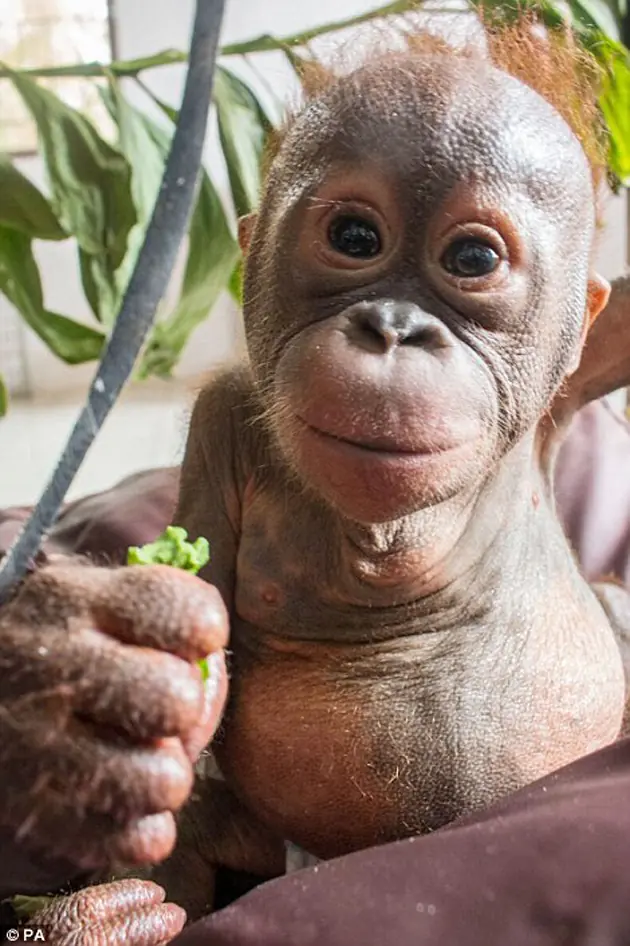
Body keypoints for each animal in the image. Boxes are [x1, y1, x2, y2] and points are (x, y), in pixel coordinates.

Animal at [2, 17, 630, 946]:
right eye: (356, 240)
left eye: (473, 257)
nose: (394, 328)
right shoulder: (221, 420)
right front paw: (76, 675)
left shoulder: (558, 399)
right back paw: (105, 916)